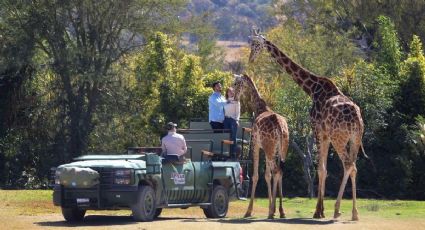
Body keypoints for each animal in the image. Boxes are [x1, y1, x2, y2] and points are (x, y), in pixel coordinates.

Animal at [232, 73, 288, 219]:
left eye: (236, 83)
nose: (234, 97)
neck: (259, 108)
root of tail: (279, 127)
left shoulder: (256, 145)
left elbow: (256, 176)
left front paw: (248, 211)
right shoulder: (270, 149)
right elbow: (267, 175)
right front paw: (271, 208)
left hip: (269, 148)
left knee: (277, 171)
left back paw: (272, 211)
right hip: (282, 148)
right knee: (280, 171)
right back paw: (281, 211)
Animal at [248, 29, 364, 221]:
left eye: (256, 44)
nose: (250, 58)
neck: (312, 89)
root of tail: (356, 118)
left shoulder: (317, 129)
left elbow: (321, 169)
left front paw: (318, 211)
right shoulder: (324, 134)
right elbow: (324, 169)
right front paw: (321, 210)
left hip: (339, 138)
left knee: (348, 165)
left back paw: (338, 210)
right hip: (354, 138)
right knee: (354, 166)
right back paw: (354, 213)